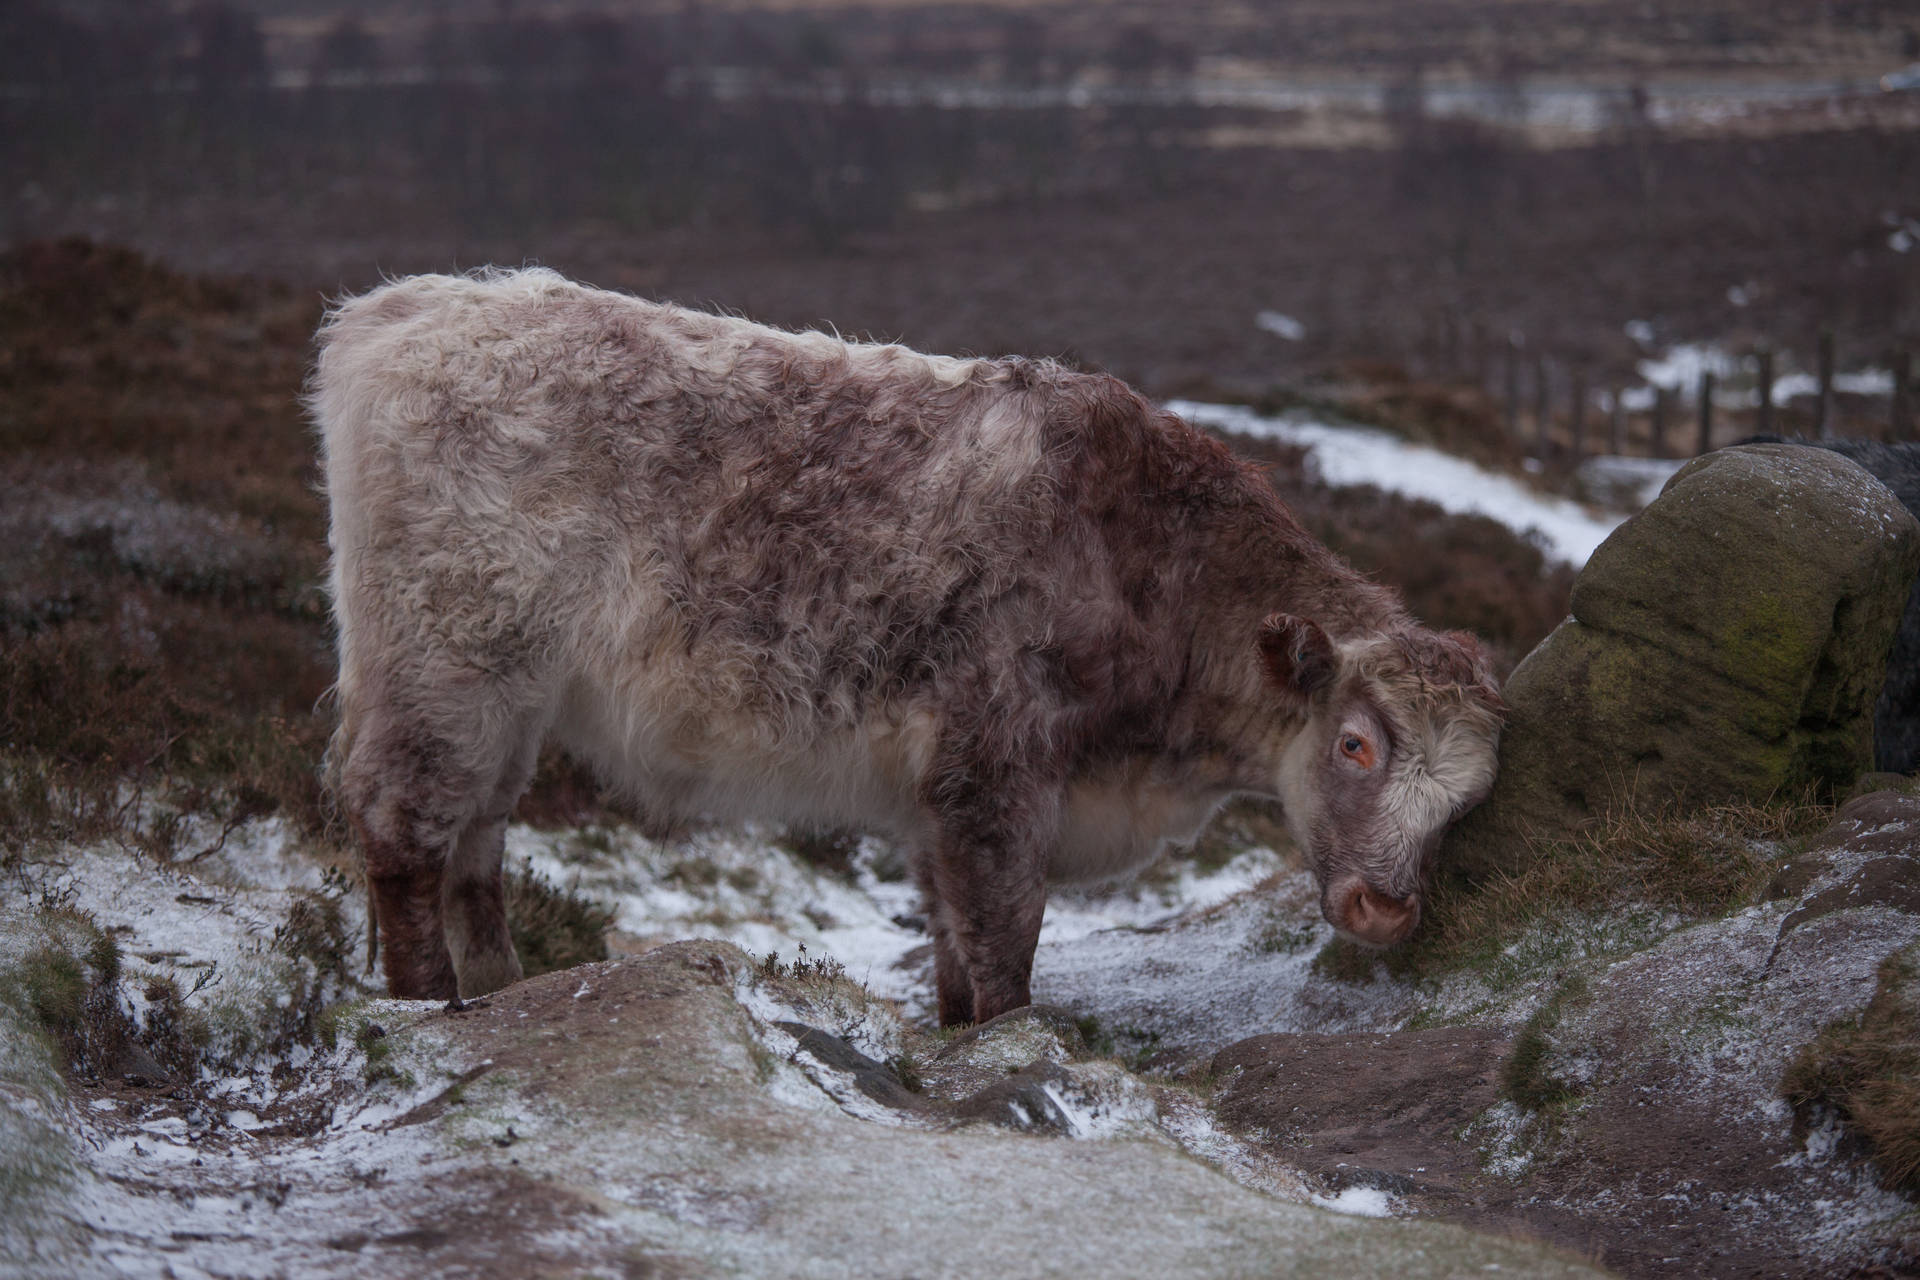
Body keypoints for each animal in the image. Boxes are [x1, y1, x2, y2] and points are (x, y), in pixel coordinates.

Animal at [311, 272, 1497, 1028]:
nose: (1387, 910)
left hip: (507, 694)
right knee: (403, 828)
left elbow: (951, 949)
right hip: (443, 661)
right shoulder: (995, 775)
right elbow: (1004, 943)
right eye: (1355, 744)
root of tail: (400, 310)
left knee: (477, 837)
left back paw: (501, 984)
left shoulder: (938, 798)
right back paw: (428, 1005)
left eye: (1472, 796)